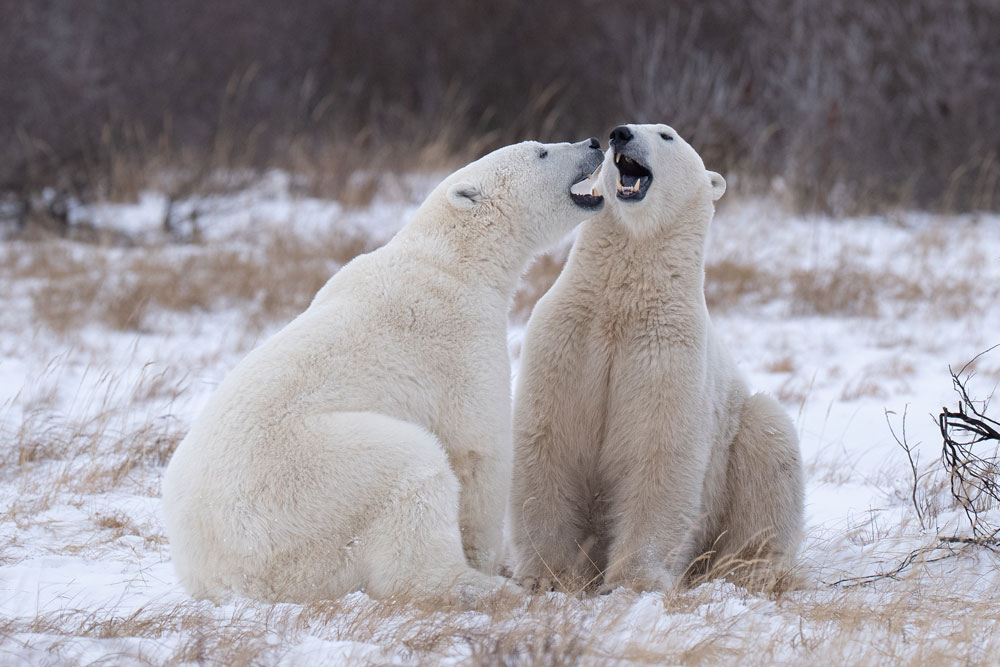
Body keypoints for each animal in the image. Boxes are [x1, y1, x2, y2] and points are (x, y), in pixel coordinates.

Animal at [162, 137, 606, 604]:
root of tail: (222, 577)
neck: (453, 259)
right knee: (412, 472)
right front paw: (485, 559)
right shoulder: (458, 336)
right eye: (541, 152)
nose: (593, 142)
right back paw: (482, 586)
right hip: (309, 483)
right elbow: (477, 448)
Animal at [507, 124, 804, 593]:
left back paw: (751, 570)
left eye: (666, 135)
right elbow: (549, 438)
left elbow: (657, 449)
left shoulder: (666, 350)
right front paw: (545, 576)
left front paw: (633, 580)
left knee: (769, 449)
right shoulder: (566, 335)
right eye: (622, 127)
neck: (623, 302)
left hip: (742, 434)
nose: (620, 134)